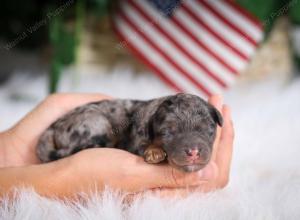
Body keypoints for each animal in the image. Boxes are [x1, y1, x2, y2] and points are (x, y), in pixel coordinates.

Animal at [35, 93, 223, 172]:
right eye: (167, 132)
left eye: (209, 129)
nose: (193, 152)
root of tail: (53, 126)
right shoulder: (135, 140)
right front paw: (154, 152)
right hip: (97, 124)